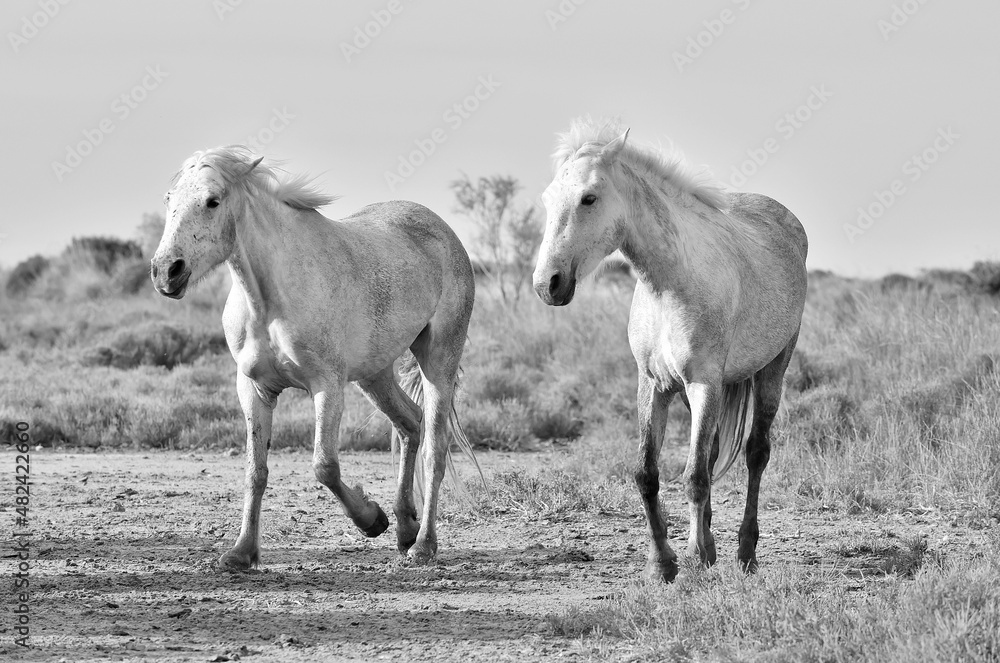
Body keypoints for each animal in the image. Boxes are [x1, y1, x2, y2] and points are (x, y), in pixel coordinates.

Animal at [150, 146, 479, 570]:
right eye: (168, 200)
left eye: (212, 201)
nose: (166, 272)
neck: (269, 299)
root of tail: (442, 230)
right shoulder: (254, 390)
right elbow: (256, 471)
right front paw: (241, 552)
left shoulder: (327, 386)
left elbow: (325, 465)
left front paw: (371, 519)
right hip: (374, 375)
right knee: (411, 423)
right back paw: (405, 528)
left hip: (439, 358)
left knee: (435, 449)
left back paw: (423, 544)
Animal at [532, 118, 808, 582]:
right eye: (547, 199)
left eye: (589, 197)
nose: (546, 284)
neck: (669, 283)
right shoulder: (654, 385)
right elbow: (648, 473)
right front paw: (662, 562)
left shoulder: (703, 383)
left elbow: (694, 477)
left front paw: (694, 558)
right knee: (712, 454)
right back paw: (713, 545)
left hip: (772, 371)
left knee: (756, 453)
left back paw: (745, 553)